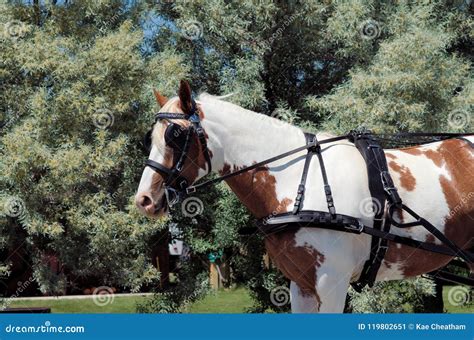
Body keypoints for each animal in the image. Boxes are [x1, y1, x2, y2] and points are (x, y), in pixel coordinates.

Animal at [134, 80, 474, 314]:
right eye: (151, 136)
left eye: (175, 135)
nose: (144, 200)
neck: (298, 178)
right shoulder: (301, 285)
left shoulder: (332, 282)